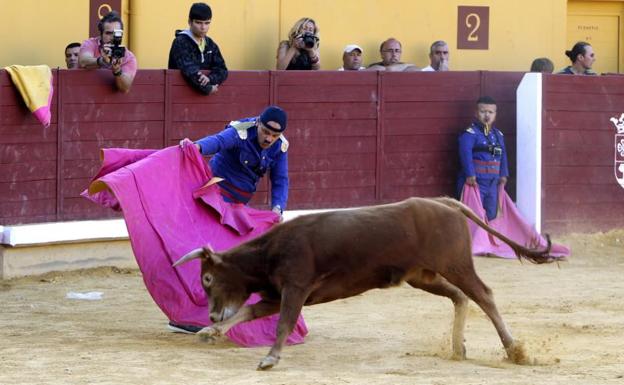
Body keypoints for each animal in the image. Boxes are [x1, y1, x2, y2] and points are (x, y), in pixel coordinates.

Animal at [172, 198, 556, 368]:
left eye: (207, 278)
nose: (211, 316)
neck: (269, 251)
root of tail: (444, 203)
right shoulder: (275, 294)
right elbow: (248, 313)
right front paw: (210, 333)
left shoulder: (295, 288)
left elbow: (282, 323)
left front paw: (270, 358)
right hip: (422, 276)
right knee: (460, 297)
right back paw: (457, 347)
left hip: (456, 264)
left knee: (484, 296)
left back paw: (514, 349)